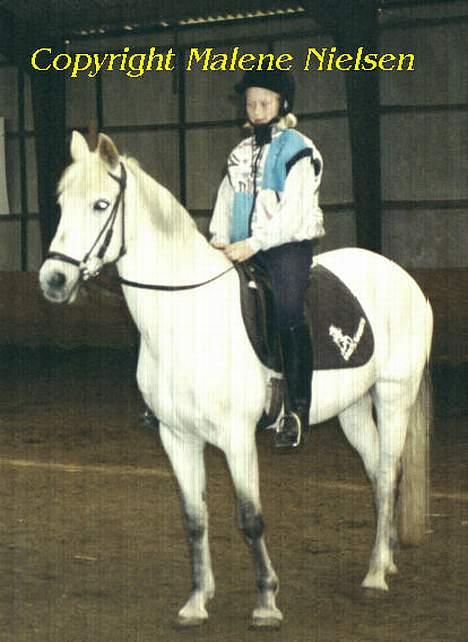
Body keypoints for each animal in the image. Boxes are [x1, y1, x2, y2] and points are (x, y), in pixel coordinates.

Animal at [38, 130, 434, 624]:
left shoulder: (237, 437)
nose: (53, 279)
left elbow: (249, 517)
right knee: (378, 475)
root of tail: (404, 279)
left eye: (100, 204)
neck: (187, 315)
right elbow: (194, 519)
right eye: (60, 203)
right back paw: (386, 560)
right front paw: (196, 601)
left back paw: (376, 575)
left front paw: (266, 602)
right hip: (354, 408)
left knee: (386, 470)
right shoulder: (177, 437)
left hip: (394, 395)